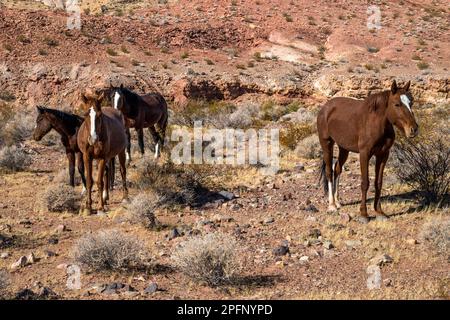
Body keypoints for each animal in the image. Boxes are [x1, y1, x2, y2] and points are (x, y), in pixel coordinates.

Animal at [316, 80, 418, 222]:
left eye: (411, 103)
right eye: (397, 104)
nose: (414, 129)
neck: (376, 122)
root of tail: (325, 107)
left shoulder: (383, 155)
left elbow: (378, 183)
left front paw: (379, 212)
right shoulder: (364, 154)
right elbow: (365, 183)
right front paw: (363, 214)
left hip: (344, 148)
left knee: (337, 169)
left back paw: (338, 202)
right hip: (327, 144)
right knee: (329, 172)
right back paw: (331, 206)